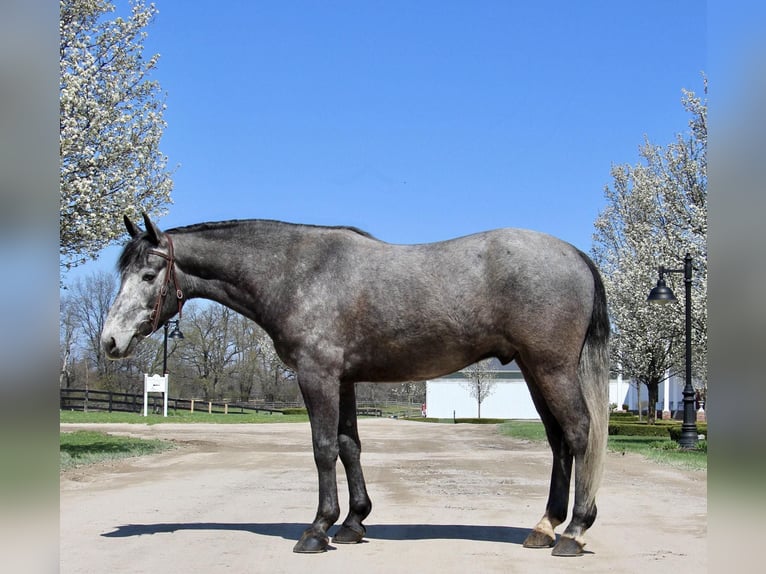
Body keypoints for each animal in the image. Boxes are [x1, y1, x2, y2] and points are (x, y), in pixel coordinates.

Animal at [102, 215, 612, 560]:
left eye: (148, 275)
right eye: (122, 274)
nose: (110, 341)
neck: (298, 272)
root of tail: (575, 254)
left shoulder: (318, 376)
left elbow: (323, 447)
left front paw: (317, 529)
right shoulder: (343, 380)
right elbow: (350, 445)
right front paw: (353, 523)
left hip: (551, 368)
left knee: (579, 433)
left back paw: (573, 532)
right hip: (534, 370)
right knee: (558, 440)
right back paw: (544, 527)